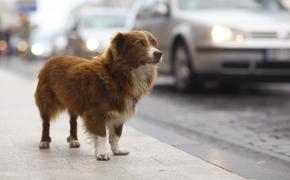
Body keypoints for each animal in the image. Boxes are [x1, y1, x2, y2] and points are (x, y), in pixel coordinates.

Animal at [34, 30, 161, 160]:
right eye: (140, 43)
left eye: (155, 43)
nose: (159, 53)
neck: (116, 75)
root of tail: (51, 59)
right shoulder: (96, 112)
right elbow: (101, 135)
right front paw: (101, 153)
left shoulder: (120, 111)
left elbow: (117, 134)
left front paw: (117, 150)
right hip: (46, 101)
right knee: (46, 122)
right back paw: (44, 141)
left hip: (73, 100)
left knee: (73, 121)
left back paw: (74, 140)